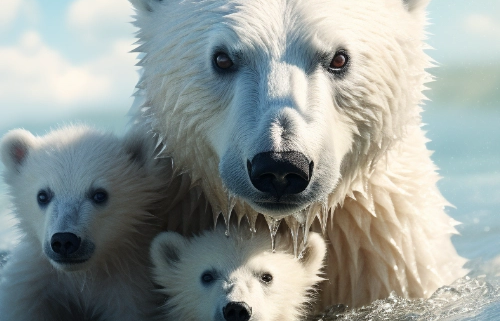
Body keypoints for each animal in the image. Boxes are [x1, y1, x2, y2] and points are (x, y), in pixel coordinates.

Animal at [0, 125, 168, 320]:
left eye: (99, 195)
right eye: (42, 195)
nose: (64, 240)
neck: (81, 276)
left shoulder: (129, 290)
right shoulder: (30, 285)